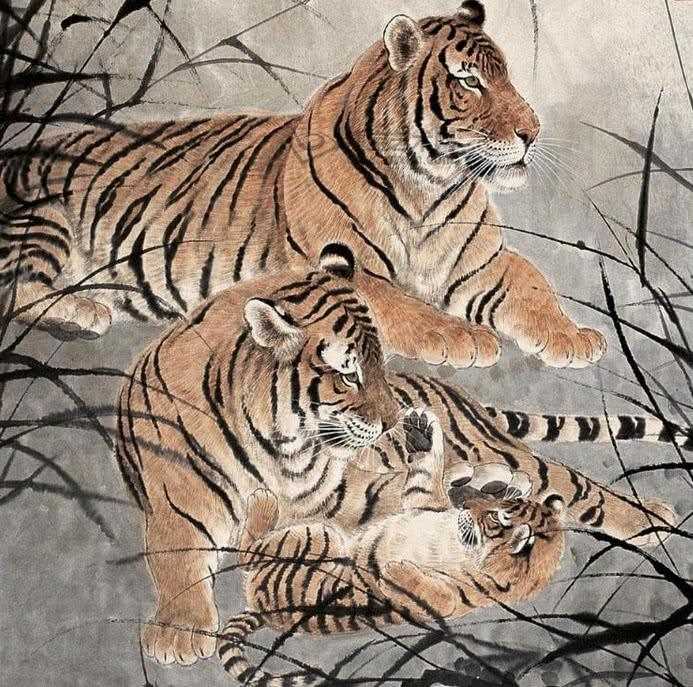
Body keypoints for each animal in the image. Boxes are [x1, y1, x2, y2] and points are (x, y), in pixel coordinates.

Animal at [2, 0, 604, 369]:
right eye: (469, 81)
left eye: (506, 77)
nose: (533, 131)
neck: (427, 189)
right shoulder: (334, 267)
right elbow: (398, 304)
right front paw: (462, 337)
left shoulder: (483, 263)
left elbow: (533, 284)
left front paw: (575, 338)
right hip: (42, 218)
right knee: (16, 289)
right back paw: (85, 311)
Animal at [217, 415, 566, 686]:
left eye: (497, 516)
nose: (469, 504)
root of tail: (259, 606)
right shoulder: (424, 503)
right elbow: (425, 478)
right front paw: (423, 435)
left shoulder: (452, 597)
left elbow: (438, 598)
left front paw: (392, 568)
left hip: (318, 535)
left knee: (248, 554)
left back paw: (262, 499)